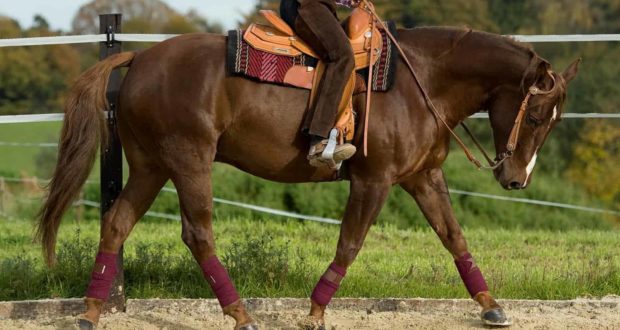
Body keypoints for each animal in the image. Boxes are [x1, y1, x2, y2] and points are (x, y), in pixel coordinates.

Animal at [37, 26, 580, 330]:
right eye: (536, 116)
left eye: (552, 121)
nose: (516, 178)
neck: (421, 81)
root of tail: (139, 58)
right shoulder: (374, 180)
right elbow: (350, 243)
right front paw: (316, 312)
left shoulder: (424, 176)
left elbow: (454, 236)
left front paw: (491, 306)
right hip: (188, 161)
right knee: (198, 233)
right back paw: (242, 315)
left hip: (151, 166)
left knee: (117, 223)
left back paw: (90, 311)